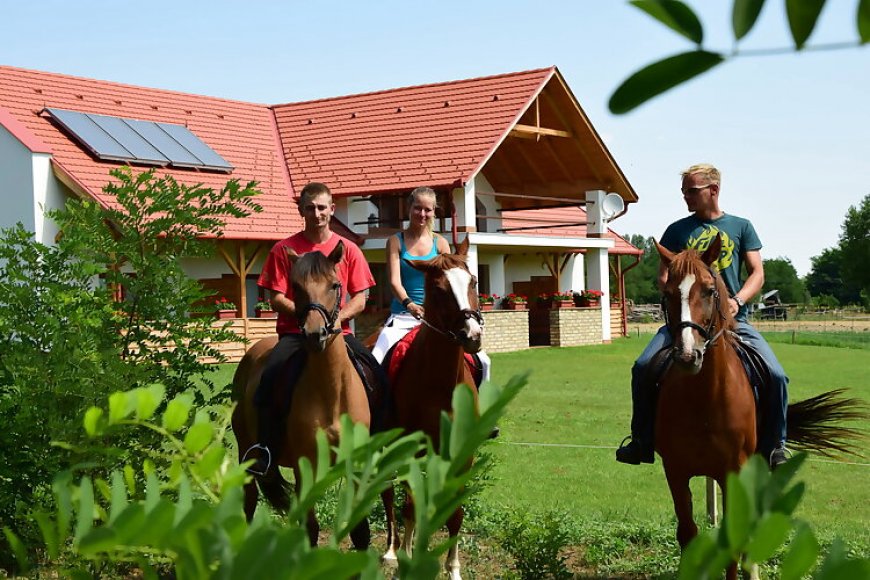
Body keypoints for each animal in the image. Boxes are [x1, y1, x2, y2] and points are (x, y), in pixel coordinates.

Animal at [232, 244, 372, 548]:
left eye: (334, 285)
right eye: (296, 286)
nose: (314, 334)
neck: (332, 392)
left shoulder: (355, 463)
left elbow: (360, 530)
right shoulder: (304, 467)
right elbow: (311, 528)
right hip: (247, 456)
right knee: (248, 504)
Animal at [384, 236, 488, 580]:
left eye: (473, 281)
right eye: (440, 289)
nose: (472, 336)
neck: (442, 383)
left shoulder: (462, 452)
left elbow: (454, 511)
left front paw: (453, 569)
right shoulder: (413, 448)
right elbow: (412, 504)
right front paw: (408, 559)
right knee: (392, 494)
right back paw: (393, 551)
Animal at [660, 236, 864, 580]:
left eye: (709, 290)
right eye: (667, 292)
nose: (688, 355)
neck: (704, 398)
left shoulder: (734, 472)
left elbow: (732, 542)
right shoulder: (675, 470)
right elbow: (687, 533)